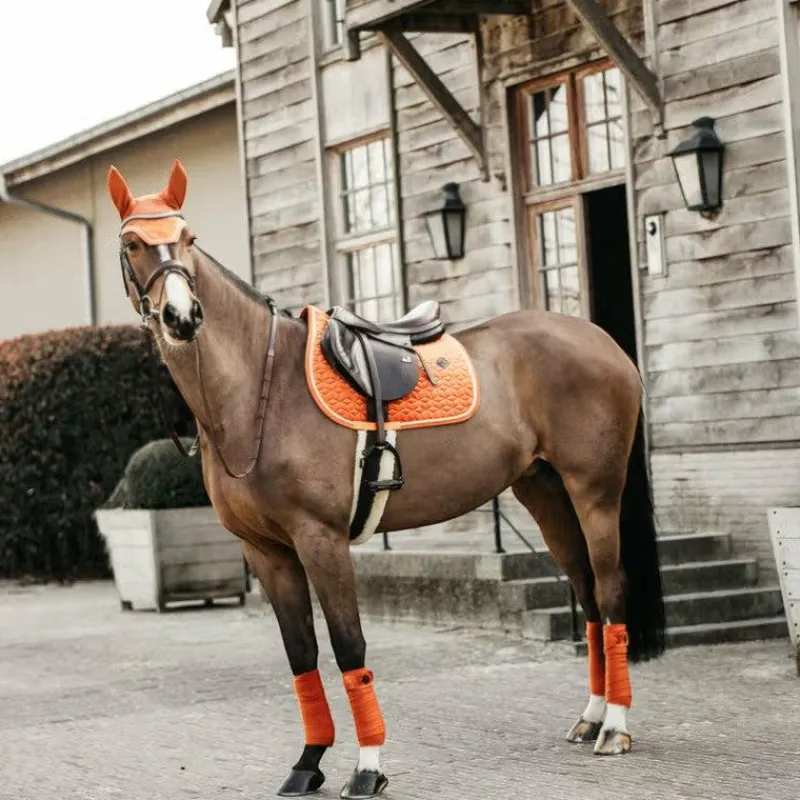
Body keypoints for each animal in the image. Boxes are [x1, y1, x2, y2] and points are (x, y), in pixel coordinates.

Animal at [107, 159, 666, 799]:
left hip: (594, 491)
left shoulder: (320, 540)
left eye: (189, 238)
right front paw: (308, 762)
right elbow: (300, 653)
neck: (259, 391)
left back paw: (615, 728)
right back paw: (591, 716)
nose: (183, 317)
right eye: (132, 243)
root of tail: (605, 344)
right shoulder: (266, 552)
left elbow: (348, 645)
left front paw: (367, 767)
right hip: (546, 494)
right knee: (589, 596)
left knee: (611, 589)